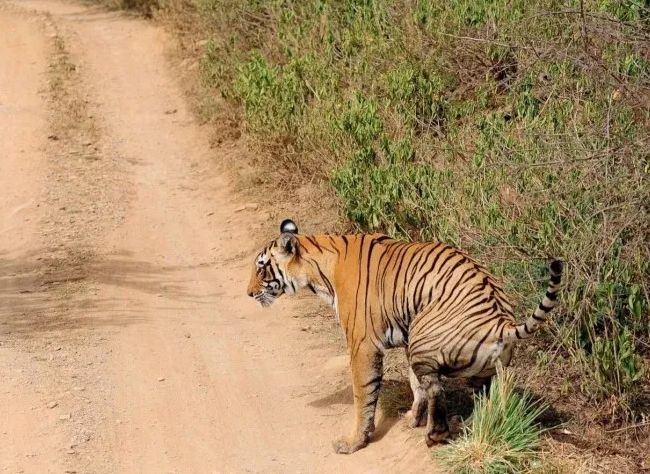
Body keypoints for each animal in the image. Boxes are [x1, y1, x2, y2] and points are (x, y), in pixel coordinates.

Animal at [246, 220, 560, 454]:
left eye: (261, 266)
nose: (248, 293)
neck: (318, 268)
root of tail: (501, 320)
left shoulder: (362, 344)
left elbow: (363, 394)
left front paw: (354, 441)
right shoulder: (405, 339)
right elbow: (412, 383)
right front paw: (412, 418)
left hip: (423, 335)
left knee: (437, 389)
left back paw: (435, 435)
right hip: (463, 358)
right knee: (487, 394)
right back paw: (467, 423)